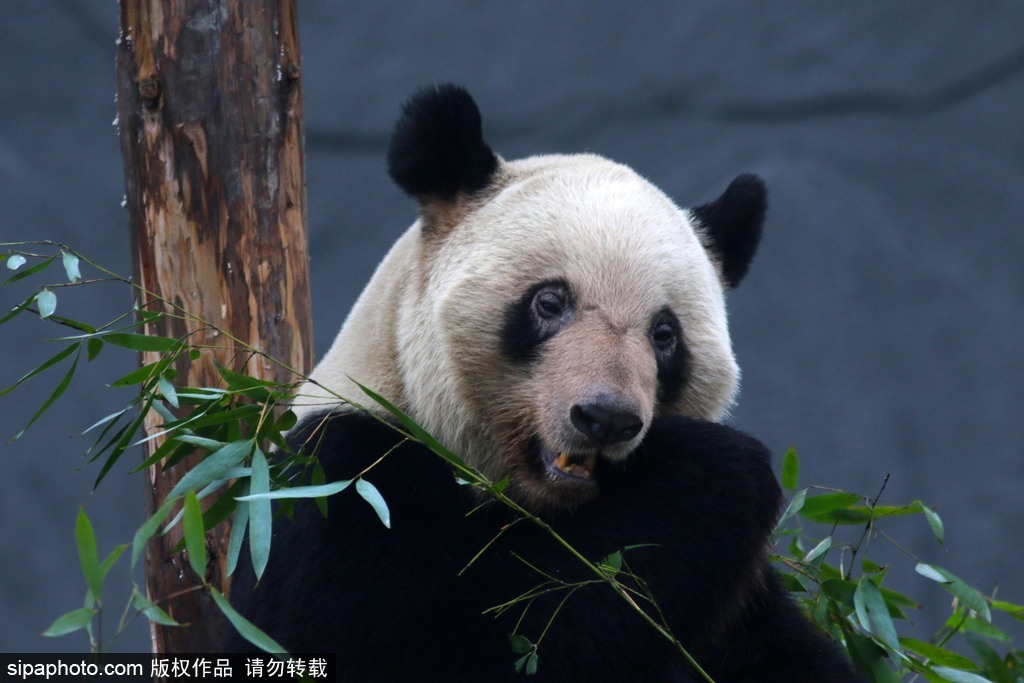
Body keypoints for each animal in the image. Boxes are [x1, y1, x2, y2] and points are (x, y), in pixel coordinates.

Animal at [226, 87, 864, 683]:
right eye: (550, 302)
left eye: (665, 334)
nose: (606, 418)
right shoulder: (336, 485)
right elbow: (452, 643)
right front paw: (713, 473)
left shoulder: (742, 614)